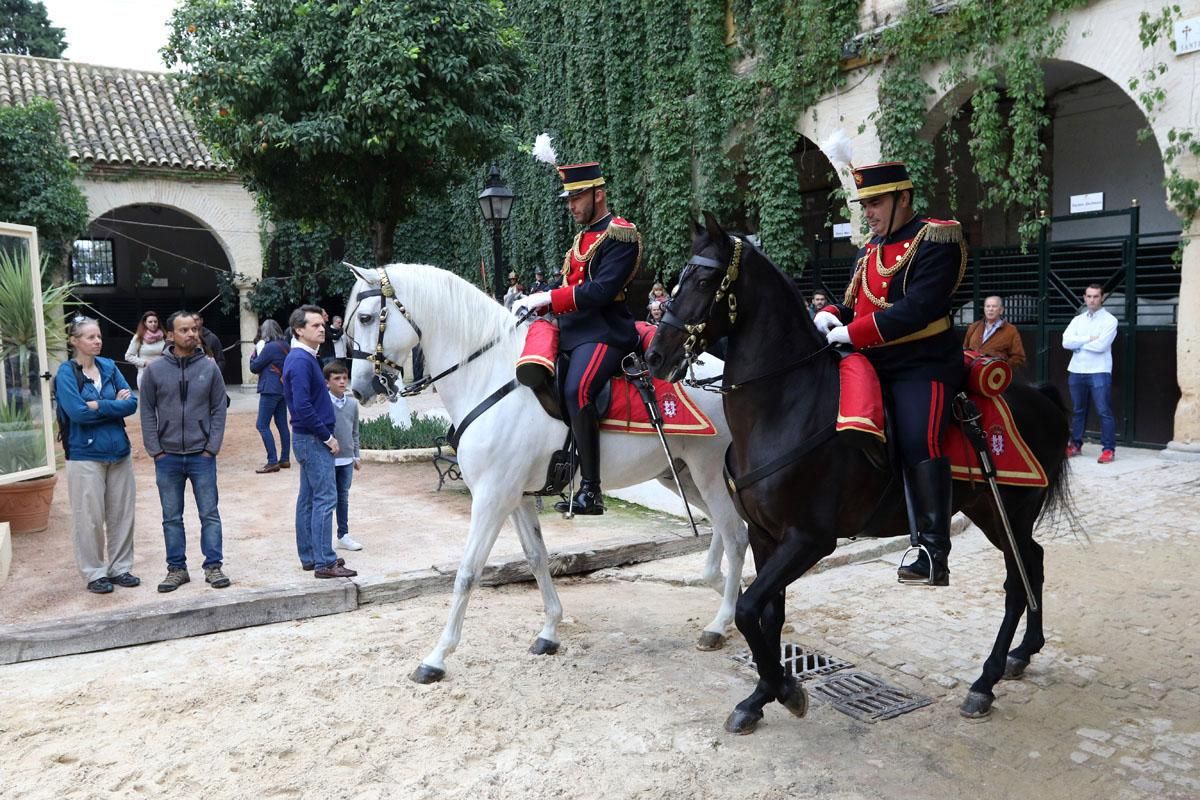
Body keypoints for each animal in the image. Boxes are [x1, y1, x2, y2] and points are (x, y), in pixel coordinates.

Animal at [343, 262, 744, 681]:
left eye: (367, 318)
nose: (360, 390)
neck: (487, 374)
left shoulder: (491, 497)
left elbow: (468, 572)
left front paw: (436, 657)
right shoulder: (516, 497)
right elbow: (536, 558)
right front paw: (549, 631)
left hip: (707, 471)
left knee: (735, 534)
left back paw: (720, 623)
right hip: (681, 475)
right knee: (728, 527)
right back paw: (725, 594)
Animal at [648, 215, 1070, 734]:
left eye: (705, 282)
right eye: (678, 280)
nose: (654, 357)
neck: (787, 404)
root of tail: (1039, 396)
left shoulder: (810, 539)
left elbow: (748, 610)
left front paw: (786, 690)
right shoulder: (767, 536)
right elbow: (769, 615)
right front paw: (763, 694)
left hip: (1008, 510)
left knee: (1017, 581)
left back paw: (985, 681)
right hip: (992, 512)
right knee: (1034, 562)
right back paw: (1023, 653)